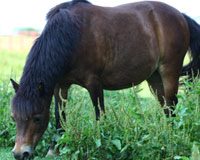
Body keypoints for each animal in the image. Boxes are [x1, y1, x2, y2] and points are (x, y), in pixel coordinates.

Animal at [10, 0, 200, 159]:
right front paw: (54, 149)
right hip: (154, 78)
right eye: (14, 118)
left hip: (169, 71)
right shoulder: (60, 85)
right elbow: (60, 115)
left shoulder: (94, 83)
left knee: (172, 105)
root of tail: (180, 16)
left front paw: (102, 146)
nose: (20, 154)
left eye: (37, 118)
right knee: (166, 108)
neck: (71, 35)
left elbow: (99, 115)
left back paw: (172, 139)